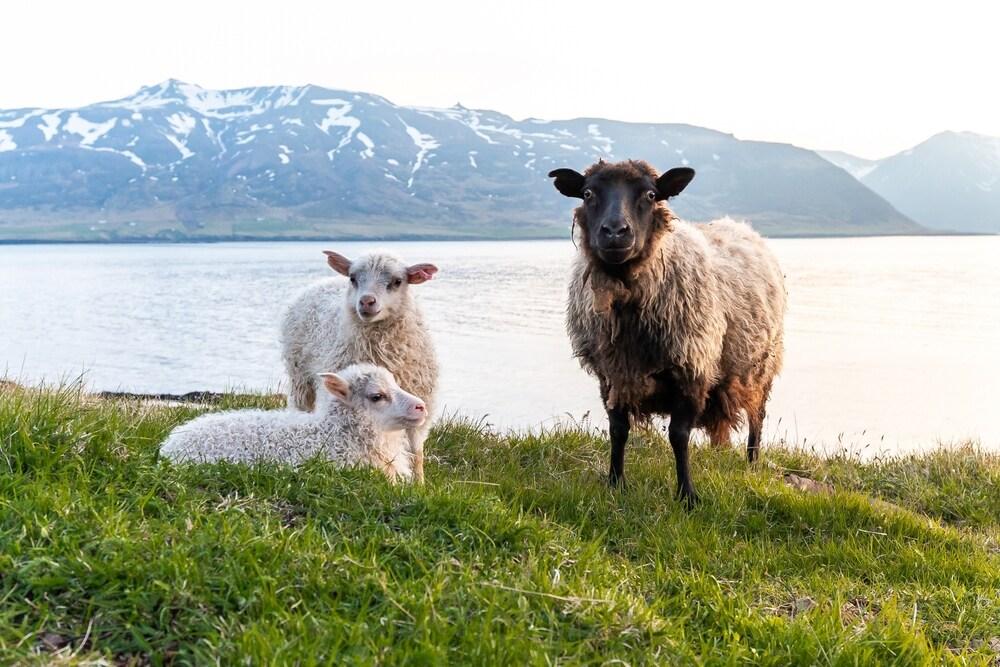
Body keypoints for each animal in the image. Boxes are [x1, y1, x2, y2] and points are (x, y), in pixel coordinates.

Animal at [281, 251, 439, 482]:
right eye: (353, 278)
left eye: (397, 281)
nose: (366, 301)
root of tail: (325, 281)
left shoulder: (420, 400)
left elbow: (416, 451)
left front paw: (420, 483)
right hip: (300, 379)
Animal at [548, 159, 786, 507]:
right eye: (588, 193)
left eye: (650, 195)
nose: (615, 232)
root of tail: (740, 226)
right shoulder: (612, 374)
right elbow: (617, 430)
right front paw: (615, 483)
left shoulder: (691, 368)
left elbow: (679, 436)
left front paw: (687, 495)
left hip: (760, 367)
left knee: (758, 417)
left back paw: (752, 463)